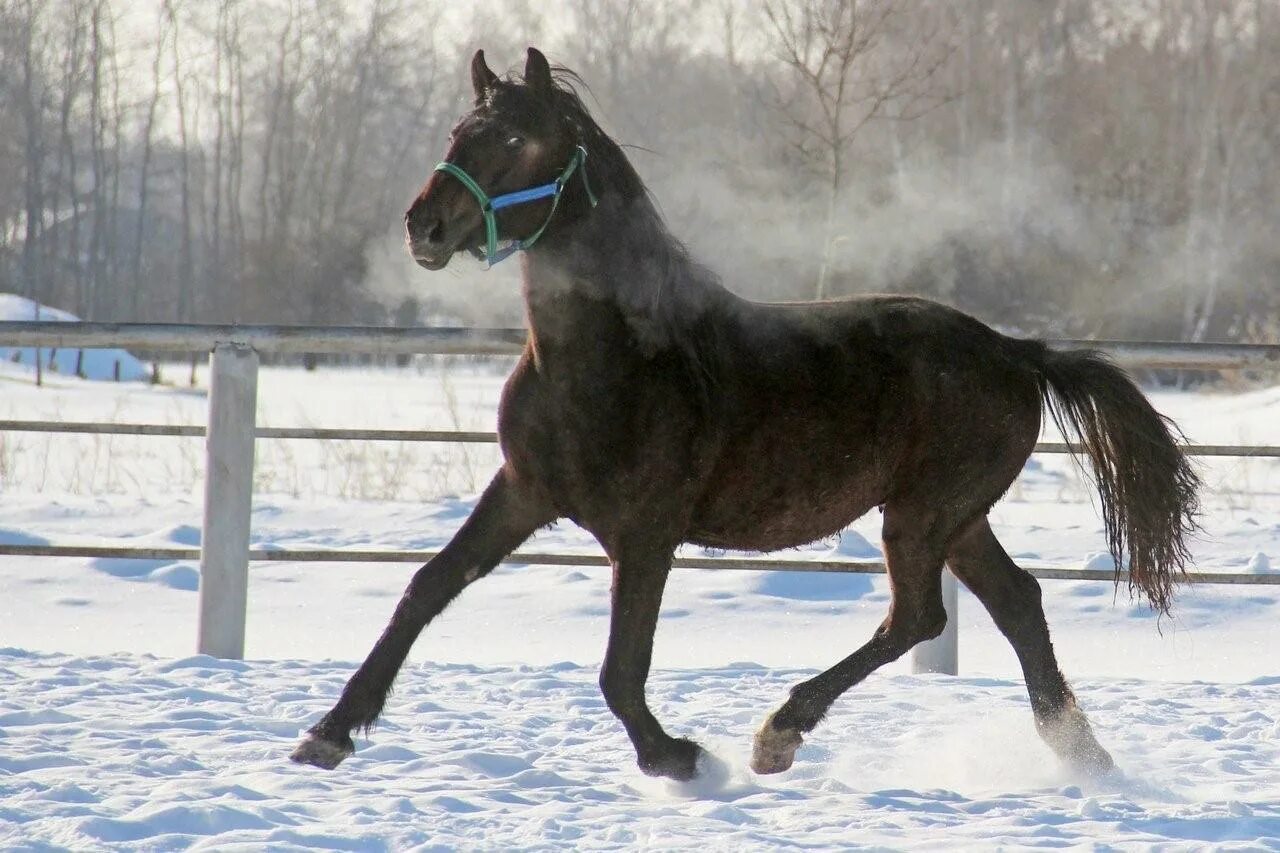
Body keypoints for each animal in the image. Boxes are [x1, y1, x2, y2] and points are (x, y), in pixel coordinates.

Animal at [290, 44, 1198, 778]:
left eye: (515, 140)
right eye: (457, 131)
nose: (425, 226)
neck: (613, 360)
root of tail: (1016, 351)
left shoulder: (647, 531)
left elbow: (620, 669)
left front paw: (676, 756)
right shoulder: (521, 491)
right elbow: (427, 587)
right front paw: (327, 733)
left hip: (923, 514)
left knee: (918, 615)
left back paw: (778, 734)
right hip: (958, 519)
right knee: (1016, 604)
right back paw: (1082, 756)